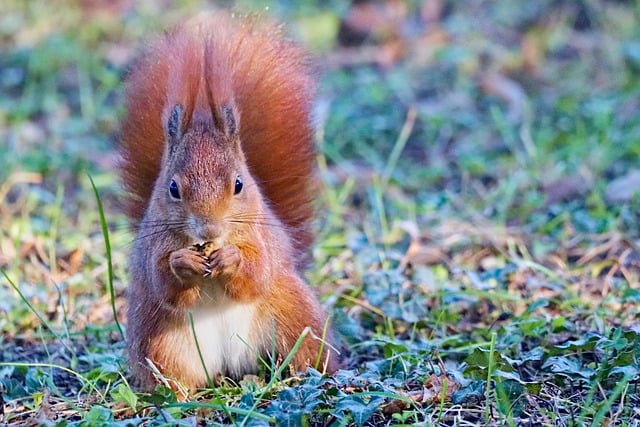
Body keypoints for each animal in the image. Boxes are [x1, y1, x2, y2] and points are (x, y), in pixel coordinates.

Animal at [117, 10, 338, 392]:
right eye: (172, 188)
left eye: (238, 184)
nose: (209, 229)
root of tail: (229, 364)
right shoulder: (152, 249)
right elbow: (165, 284)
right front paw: (183, 261)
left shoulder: (259, 240)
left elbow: (256, 274)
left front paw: (231, 258)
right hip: (159, 342)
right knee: (176, 377)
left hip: (296, 319)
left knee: (304, 354)